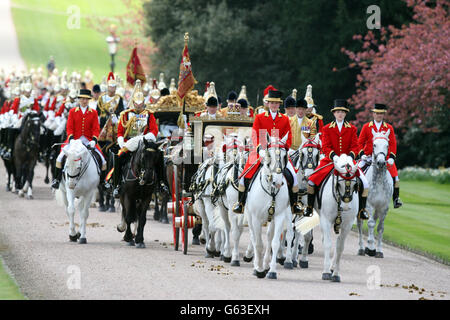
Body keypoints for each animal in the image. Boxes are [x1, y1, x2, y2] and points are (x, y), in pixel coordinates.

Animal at [244, 134, 294, 278]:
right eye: (269, 155)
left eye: (284, 155)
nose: (277, 182)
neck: (271, 190)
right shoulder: (255, 218)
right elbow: (258, 243)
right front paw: (259, 269)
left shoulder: (279, 216)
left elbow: (274, 242)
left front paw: (271, 270)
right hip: (250, 216)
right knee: (253, 236)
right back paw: (256, 263)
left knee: (269, 236)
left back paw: (266, 264)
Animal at [314, 154, 360, 282]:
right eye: (339, 184)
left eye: (355, 185)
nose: (346, 207)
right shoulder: (326, 220)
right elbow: (327, 244)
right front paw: (325, 272)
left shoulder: (347, 225)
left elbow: (340, 247)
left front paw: (335, 274)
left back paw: (332, 267)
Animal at [356, 129, 392, 258]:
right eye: (374, 144)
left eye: (387, 145)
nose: (381, 162)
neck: (380, 181)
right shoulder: (369, 205)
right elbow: (371, 224)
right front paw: (371, 248)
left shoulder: (384, 207)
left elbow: (380, 227)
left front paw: (379, 250)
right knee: (360, 224)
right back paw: (362, 248)